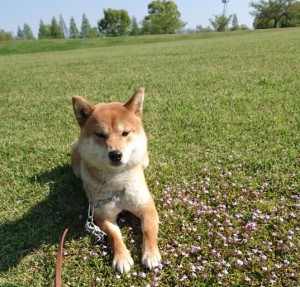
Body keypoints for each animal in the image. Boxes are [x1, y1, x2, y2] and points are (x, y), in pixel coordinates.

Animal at [70, 88, 161, 274]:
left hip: (145, 161)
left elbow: (148, 230)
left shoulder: (147, 207)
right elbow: (114, 236)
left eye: (125, 133)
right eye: (100, 135)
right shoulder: (101, 215)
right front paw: (122, 257)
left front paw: (150, 254)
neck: (118, 183)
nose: (116, 154)